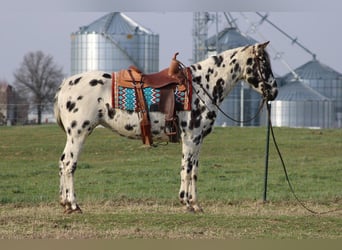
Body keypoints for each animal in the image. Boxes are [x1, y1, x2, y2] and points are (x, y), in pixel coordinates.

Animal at [54, 41, 278, 213]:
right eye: (263, 61)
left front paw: (196, 205)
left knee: (63, 162)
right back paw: (73, 205)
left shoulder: (198, 139)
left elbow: (194, 170)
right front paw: (186, 203)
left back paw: (65, 204)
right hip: (79, 133)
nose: (274, 91)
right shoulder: (191, 137)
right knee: (69, 164)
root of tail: (65, 84)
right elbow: (186, 168)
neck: (203, 85)